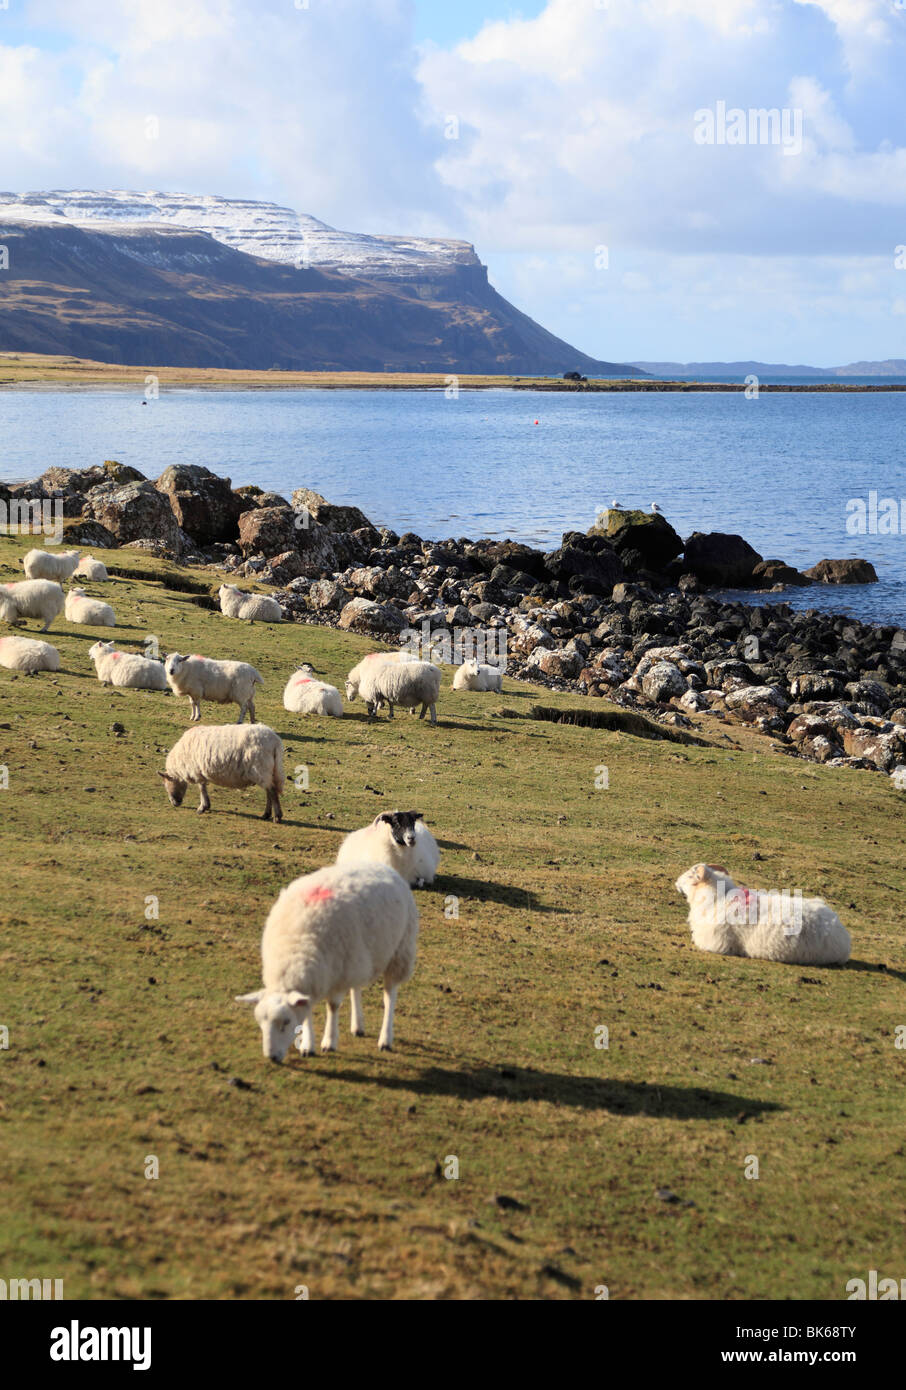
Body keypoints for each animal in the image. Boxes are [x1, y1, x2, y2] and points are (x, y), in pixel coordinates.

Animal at [233, 856, 416, 1061]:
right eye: (260, 1022)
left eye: (286, 1021)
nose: (272, 1057)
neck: (295, 952)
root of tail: (381, 866)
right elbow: (307, 1012)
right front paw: (307, 1046)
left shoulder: (336, 972)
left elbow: (333, 1007)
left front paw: (329, 1042)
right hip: (358, 956)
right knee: (356, 987)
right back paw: (357, 1026)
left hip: (399, 951)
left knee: (389, 996)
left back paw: (385, 1039)